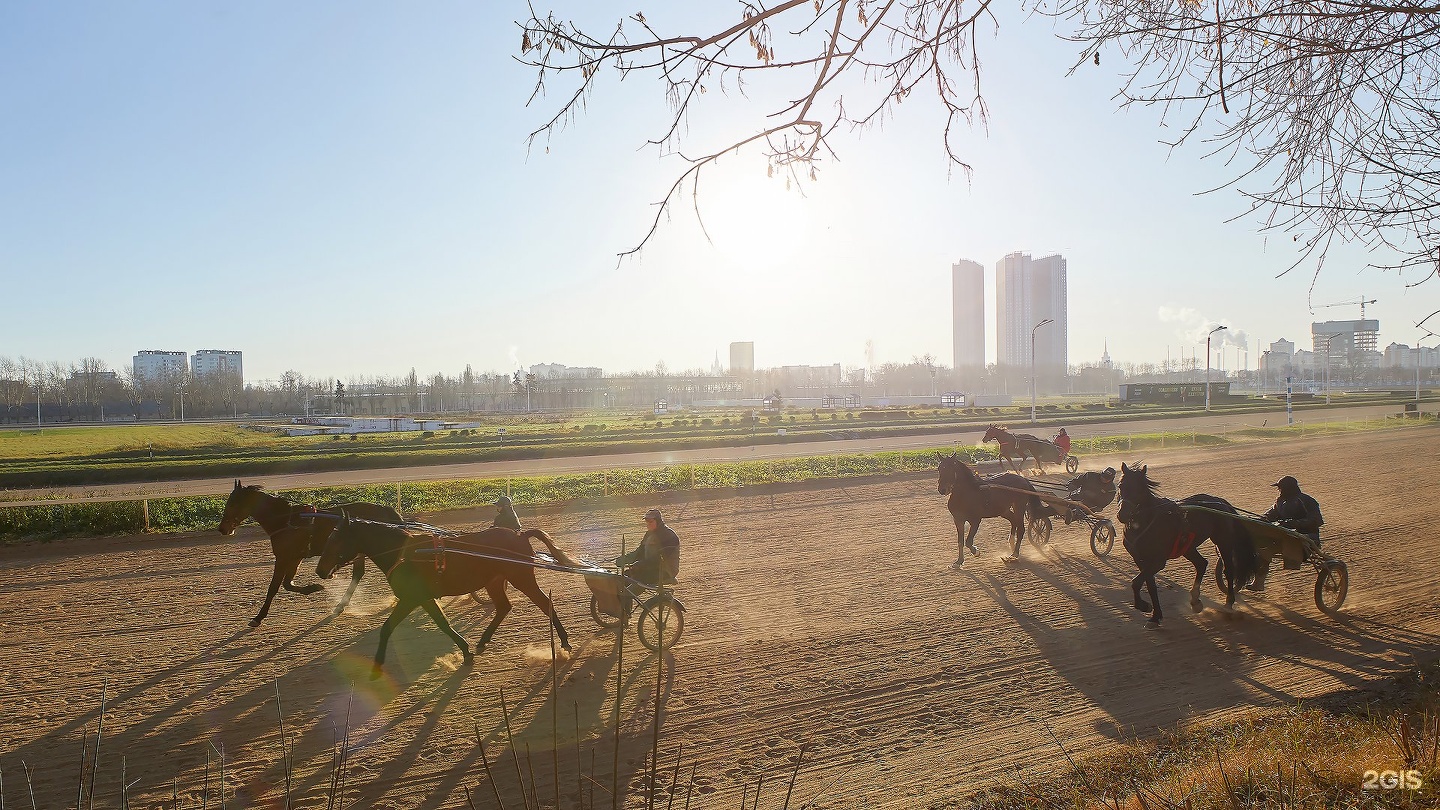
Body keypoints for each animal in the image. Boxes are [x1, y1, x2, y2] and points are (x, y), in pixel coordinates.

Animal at [214, 478, 406, 625]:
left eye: (232, 504)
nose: (222, 529)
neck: (286, 521)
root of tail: (387, 510)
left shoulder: (284, 557)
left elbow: (274, 587)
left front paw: (258, 617)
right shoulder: (294, 558)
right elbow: (287, 584)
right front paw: (314, 587)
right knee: (359, 573)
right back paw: (341, 605)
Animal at [316, 515, 584, 674]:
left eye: (336, 539)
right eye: (328, 537)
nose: (319, 570)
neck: (406, 553)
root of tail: (519, 534)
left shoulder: (411, 598)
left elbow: (387, 627)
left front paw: (377, 663)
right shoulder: (423, 598)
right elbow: (443, 623)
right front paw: (466, 652)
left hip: (521, 578)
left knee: (545, 603)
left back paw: (564, 641)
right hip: (495, 581)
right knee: (503, 607)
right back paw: (483, 641)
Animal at [1111, 461, 1261, 625]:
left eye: (1139, 488)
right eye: (1121, 486)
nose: (1123, 514)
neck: (1141, 525)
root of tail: (1221, 501)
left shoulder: (1158, 561)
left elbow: (1136, 582)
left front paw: (1143, 606)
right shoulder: (1140, 559)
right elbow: (1149, 586)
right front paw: (1155, 615)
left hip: (1223, 541)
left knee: (1228, 570)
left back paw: (1228, 604)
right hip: (1188, 547)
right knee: (1201, 564)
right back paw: (1195, 601)